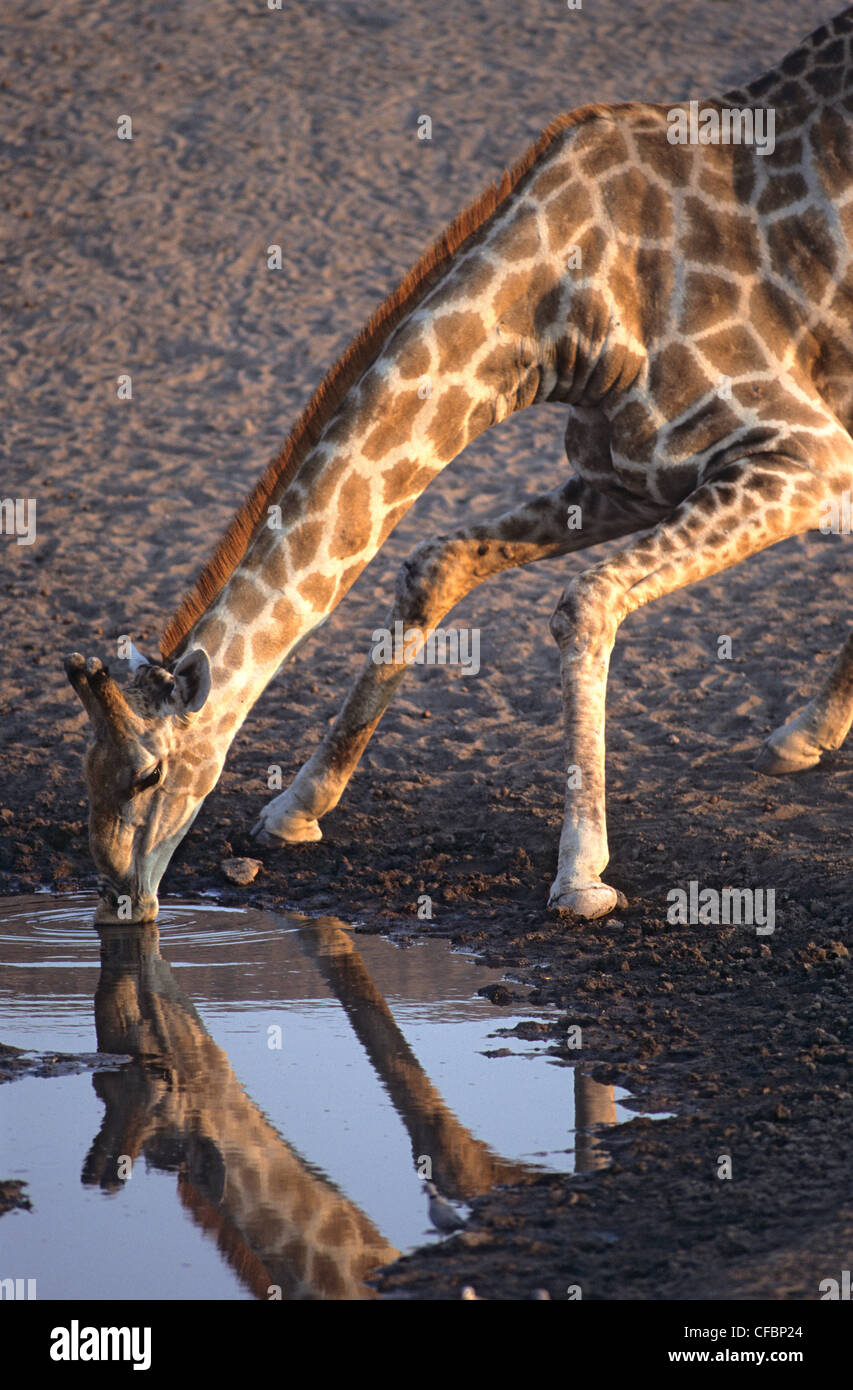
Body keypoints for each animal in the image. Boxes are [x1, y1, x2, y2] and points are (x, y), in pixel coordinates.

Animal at [66, 7, 853, 924]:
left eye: (146, 773)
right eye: (86, 771)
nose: (116, 900)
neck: (560, 313)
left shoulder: (804, 455)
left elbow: (585, 602)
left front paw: (580, 874)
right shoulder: (624, 477)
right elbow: (436, 563)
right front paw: (292, 809)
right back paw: (805, 732)